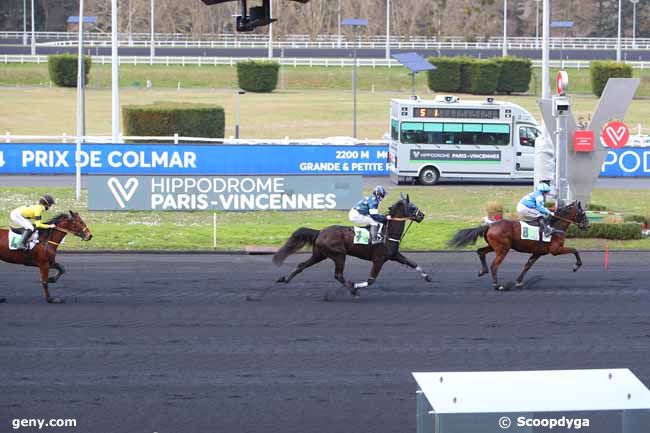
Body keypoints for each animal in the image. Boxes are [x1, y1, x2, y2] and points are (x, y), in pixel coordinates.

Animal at [272, 195, 430, 298]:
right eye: (412, 206)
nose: (422, 215)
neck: (388, 232)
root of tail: (320, 231)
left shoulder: (394, 255)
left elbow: (412, 263)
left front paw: (427, 276)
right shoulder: (379, 260)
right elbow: (371, 280)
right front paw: (355, 286)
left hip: (319, 255)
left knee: (302, 265)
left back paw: (285, 279)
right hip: (339, 255)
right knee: (338, 275)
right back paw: (352, 290)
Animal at [446, 202, 588, 290]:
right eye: (583, 213)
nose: (587, 225)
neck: (554, 226)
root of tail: (490, 225)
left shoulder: (538, 252)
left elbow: (527, 266)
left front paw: (519, 282)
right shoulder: (555, 250)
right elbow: (575, 250)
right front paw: (576, 266)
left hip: (495, 247)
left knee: (480, 252)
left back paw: (482, 271)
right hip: (503, 249)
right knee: (494, 265)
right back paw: (497, 285)